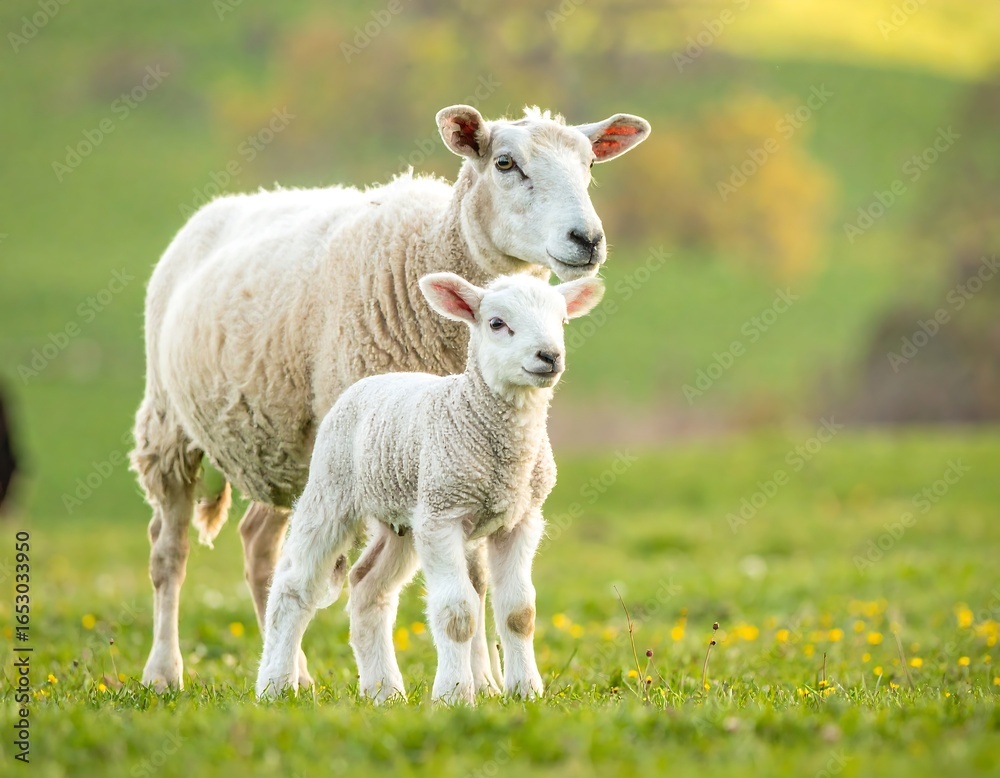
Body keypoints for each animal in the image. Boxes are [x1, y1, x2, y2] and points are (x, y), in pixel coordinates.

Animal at [256, 270, 604, 702]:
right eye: (497, 323)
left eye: (562, 321)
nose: (549, 356)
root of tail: (375, 379)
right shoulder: (443, 515)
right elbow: (457, 613)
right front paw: (453, 695)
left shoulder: (521, 519)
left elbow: (519, 612)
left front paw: (526, 691)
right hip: (332, 488)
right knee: (293, 588)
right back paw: (275, 685)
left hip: (404, 518)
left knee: (368, 589)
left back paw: (384, 691)